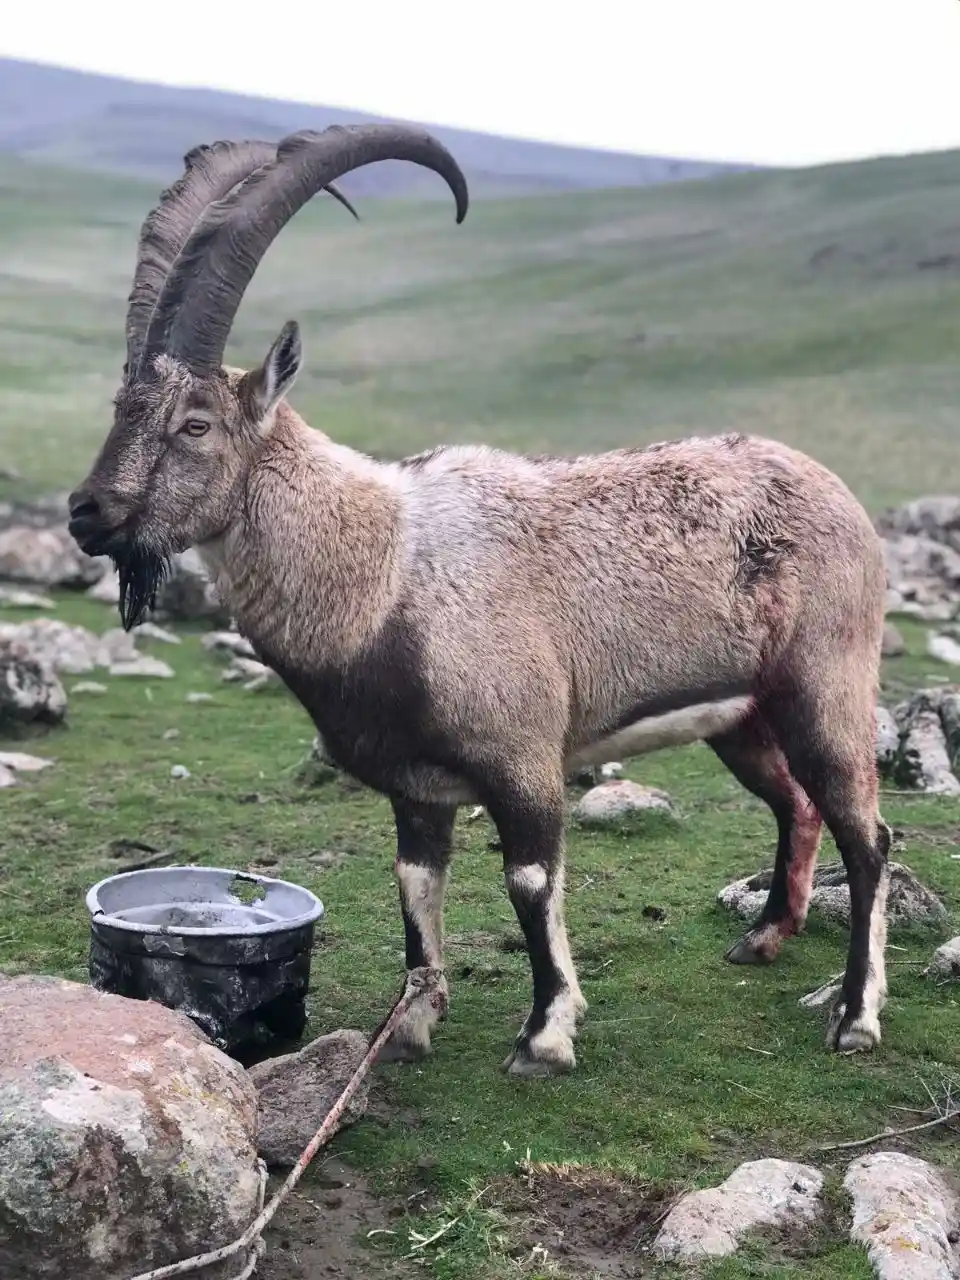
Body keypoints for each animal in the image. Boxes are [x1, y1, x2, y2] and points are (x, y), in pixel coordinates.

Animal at [69, 122, 896, 1080]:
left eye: (195, 423)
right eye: (120, 409)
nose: (87, 513)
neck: (385, 575)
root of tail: (838, 494)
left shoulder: (523, 758)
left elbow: (530, 883)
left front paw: (546, 1035)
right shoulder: (414, 787)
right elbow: (415, 886)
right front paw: (411, 1023)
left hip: (825, 686)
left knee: (866, 835)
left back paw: (855, 1015)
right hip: (741, 717)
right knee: (794, 806)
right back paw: (764, 938)